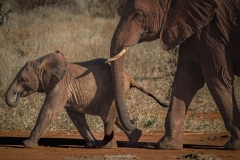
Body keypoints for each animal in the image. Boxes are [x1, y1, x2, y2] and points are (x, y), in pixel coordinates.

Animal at [5, 51, 167, 149]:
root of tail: (129, 77)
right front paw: (91, 145)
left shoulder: (59, 87)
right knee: (115, 116)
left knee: (107, 116)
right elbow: (77, 118)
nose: (19, 94)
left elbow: (49, 111)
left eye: (23, 80)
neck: (43, 62)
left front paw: (26, 145)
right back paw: (134, 138)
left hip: (111, 92)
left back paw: (107, 147)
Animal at [108, 0, 240, 150]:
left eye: (138, 15)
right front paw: (168, 145)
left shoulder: (212, 33)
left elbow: (217, 78)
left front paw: (234, 145)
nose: (134, 121)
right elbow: (186, 80)